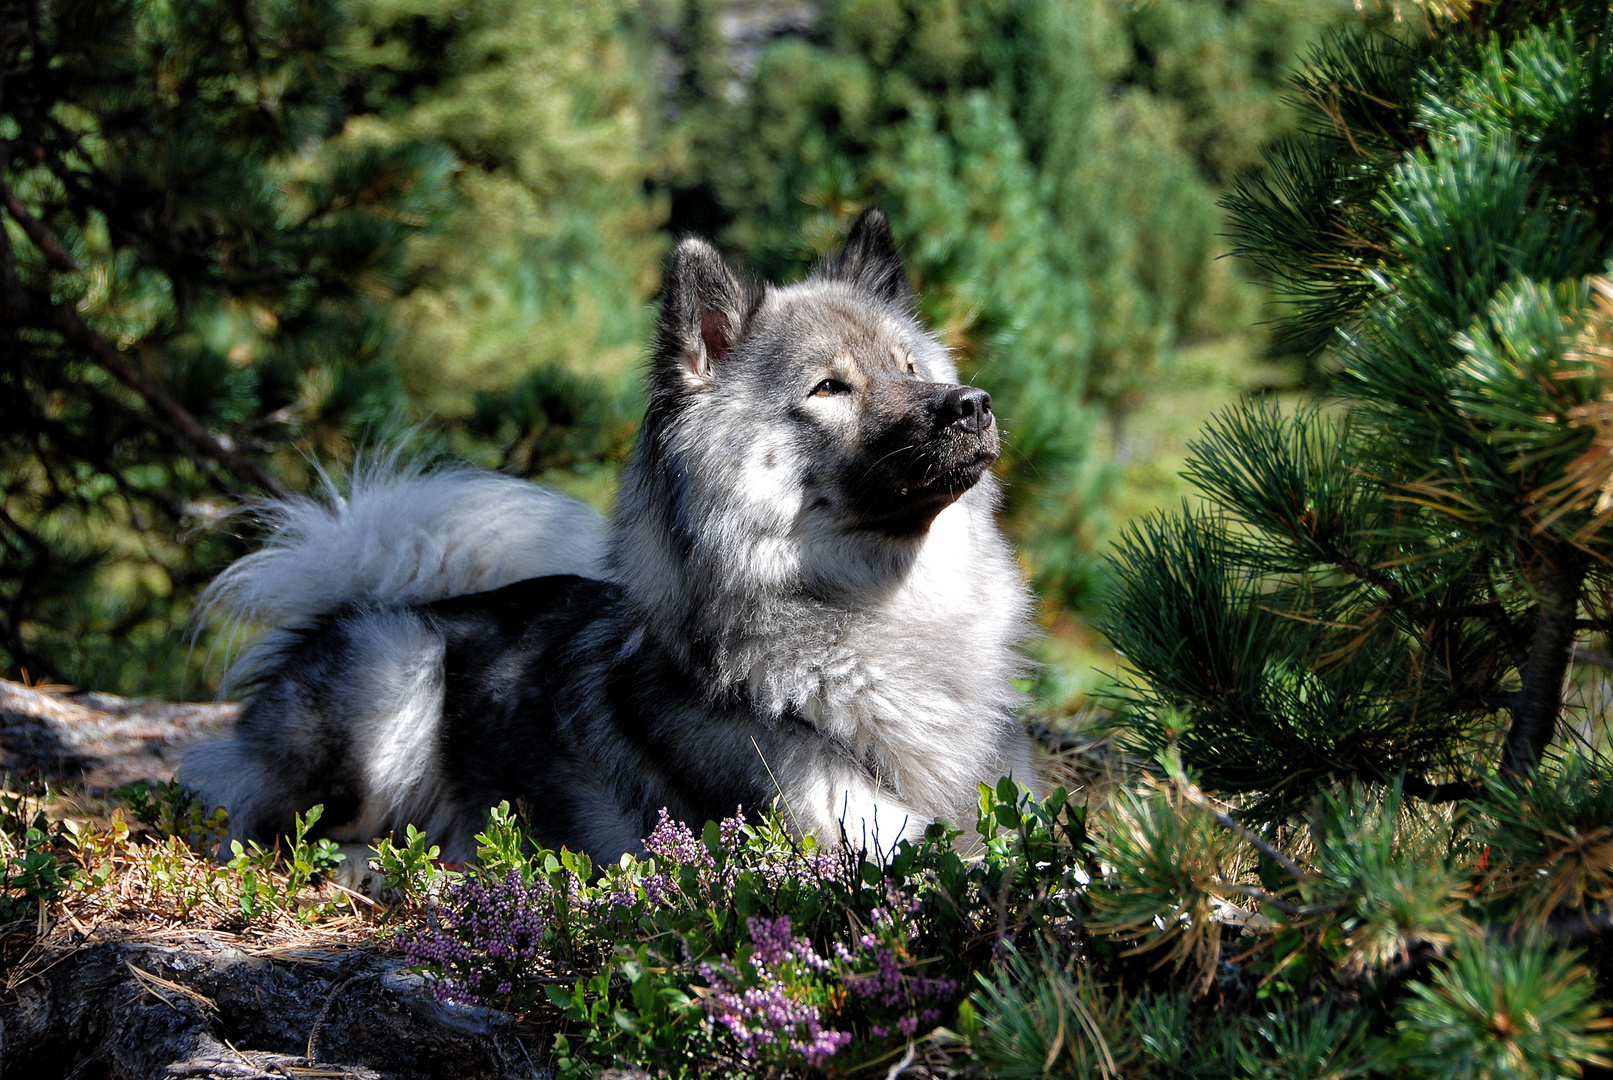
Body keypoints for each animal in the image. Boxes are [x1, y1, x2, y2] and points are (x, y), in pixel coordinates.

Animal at [183, 211, 1038, 870]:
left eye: (910, 368)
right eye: (829, 388)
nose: (970, 404)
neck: (880, 616)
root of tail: (341, 608)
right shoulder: (848, 836)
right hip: (393, 674)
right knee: (273, 836)